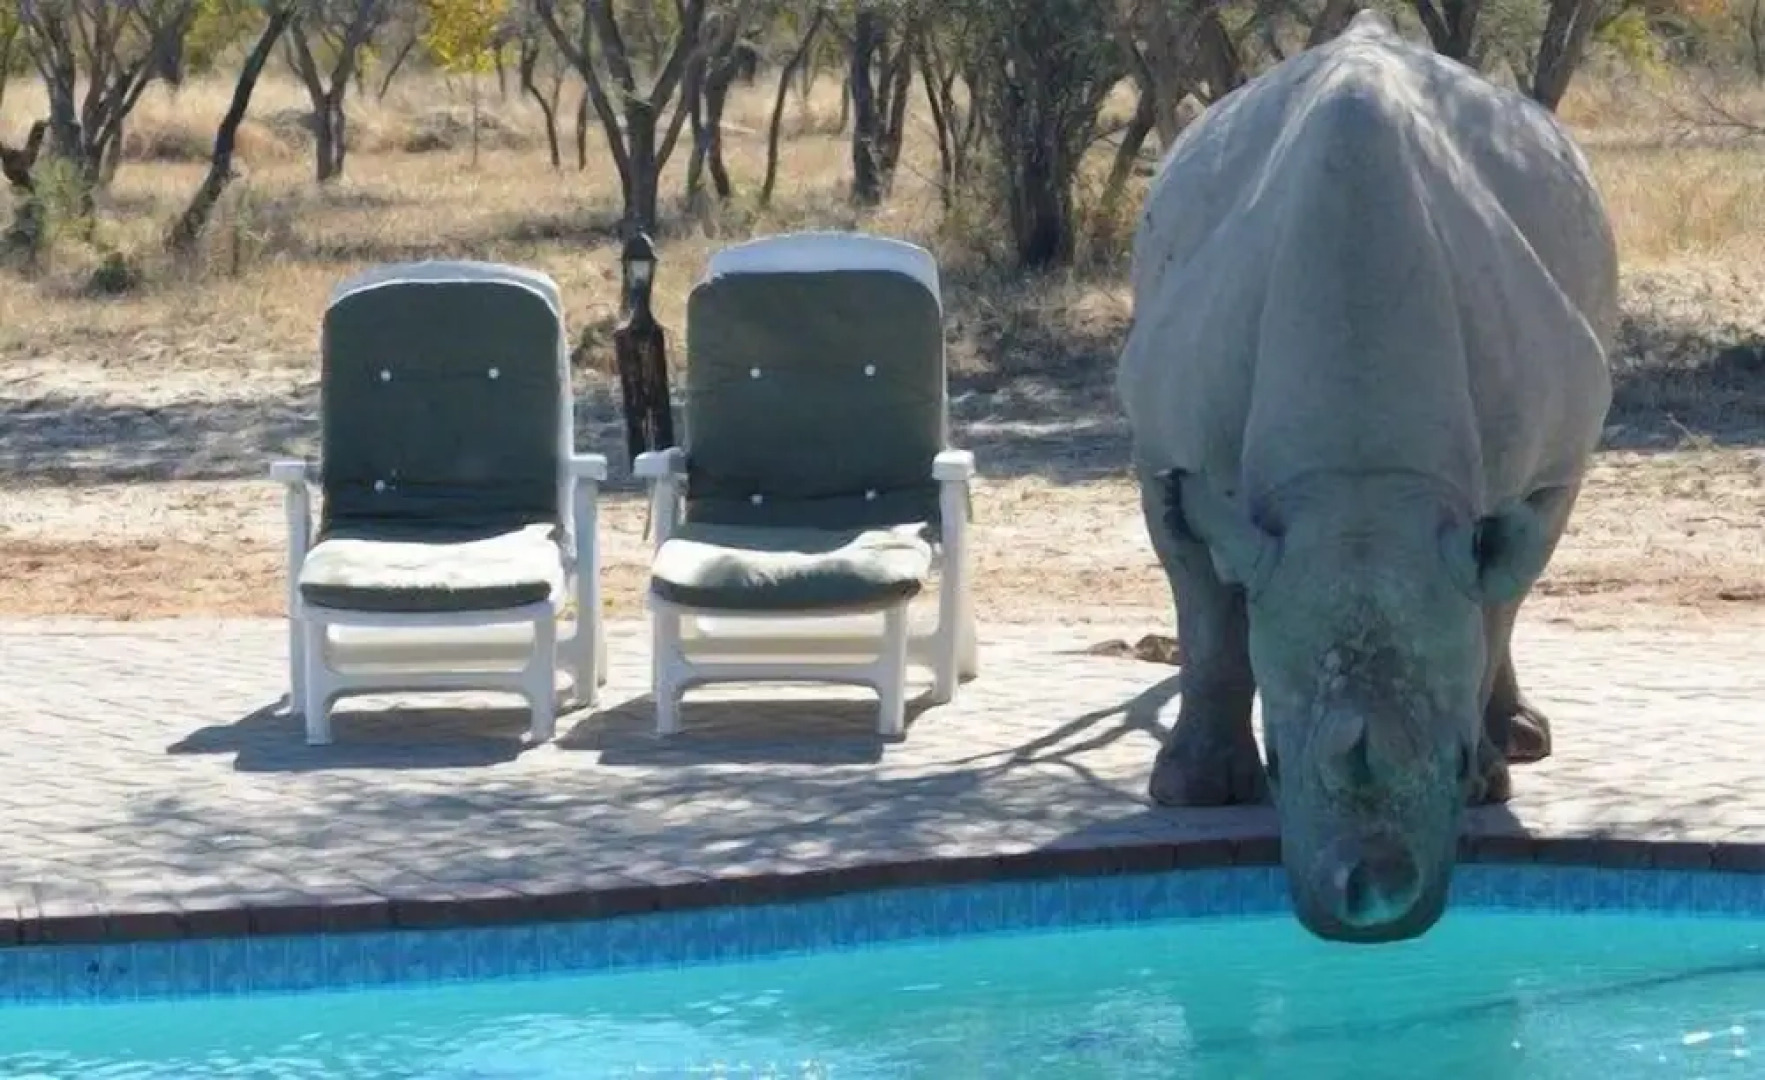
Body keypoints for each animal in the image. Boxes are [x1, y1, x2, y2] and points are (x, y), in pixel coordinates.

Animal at [1117, 11, 1617, 944]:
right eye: (1279, 763)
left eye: (1448, 762)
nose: (1373, 905)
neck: (1359, 486)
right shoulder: (1163, 447)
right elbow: (1204, 615)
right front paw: (1192, 794)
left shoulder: (1530, 475)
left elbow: (1491, 605)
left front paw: (1485, 780)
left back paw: (1520, 743)